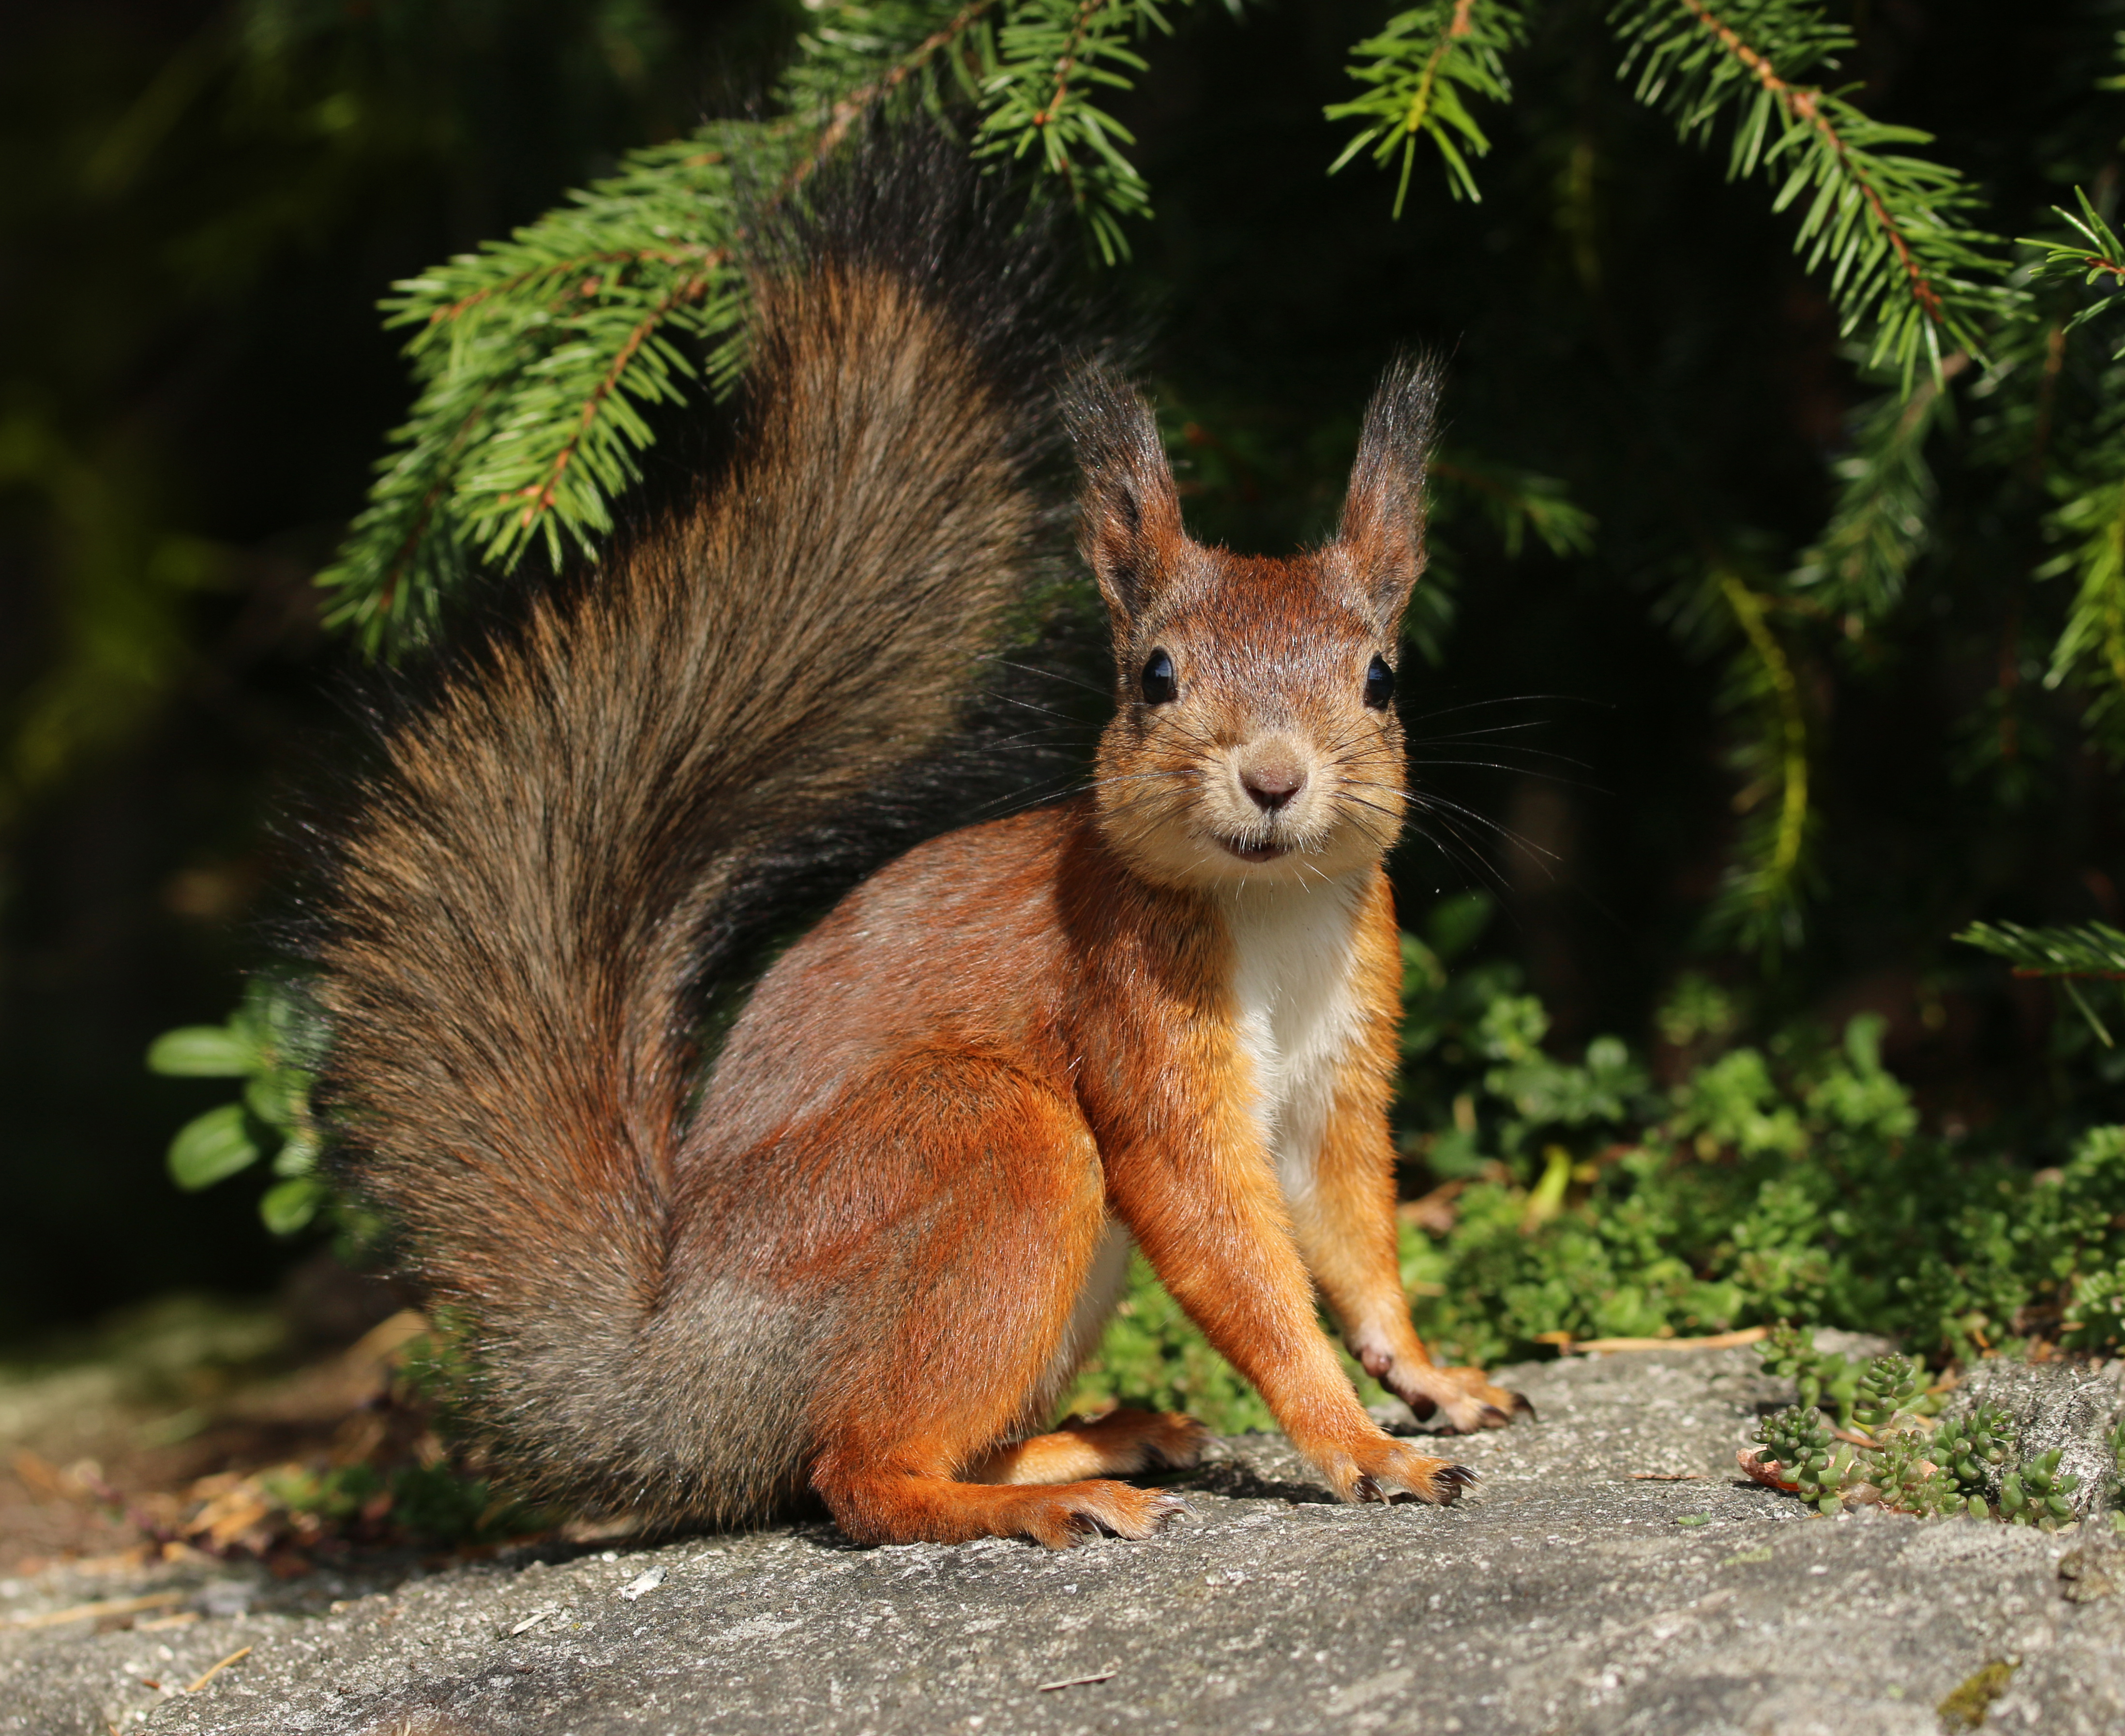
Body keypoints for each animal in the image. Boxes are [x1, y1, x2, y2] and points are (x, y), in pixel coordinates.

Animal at [314, 132, 1521, 1547]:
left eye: (1381, 678)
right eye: (1153, 676)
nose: (1273, 778)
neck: (1266, 911)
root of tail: (677, 1377)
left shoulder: (1342, 1062)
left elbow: (1352, 1235)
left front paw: (1430, 1378)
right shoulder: (1133, 1020)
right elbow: (1230, 1248)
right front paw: (1356, 1442)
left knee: (902, 1440)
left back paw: (1091, 1439)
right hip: (985, 1146)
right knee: (855, 1467)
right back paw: (1045, 1498)